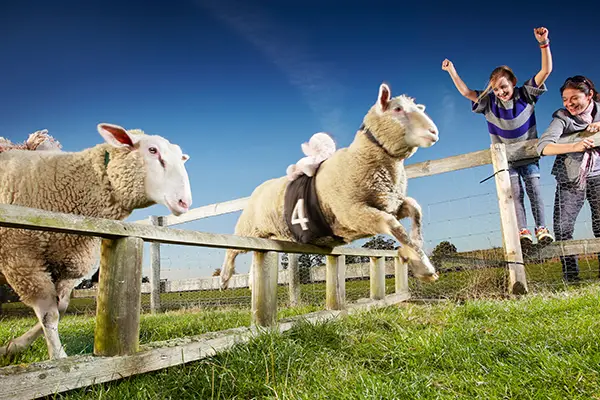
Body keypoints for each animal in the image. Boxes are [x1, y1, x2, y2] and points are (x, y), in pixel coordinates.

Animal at [0, 122, 192, 360]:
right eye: (153, 150)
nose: (184, 202)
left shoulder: (68, 268)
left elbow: (60, 307)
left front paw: (13, 346)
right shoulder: (22, 259)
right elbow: (48, 314)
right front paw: (58, 357)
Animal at [220, 83, 440, 290]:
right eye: (398, 109)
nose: (434, 132)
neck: (360, 158)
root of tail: (259, 188)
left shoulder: (390, 204)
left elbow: (415, 209)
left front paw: (417, 253)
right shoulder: (353, 212)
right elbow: (394, 225)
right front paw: (425, 267)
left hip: (270, 234)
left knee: (257, 251)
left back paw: (251, 281)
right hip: (248, 227)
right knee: (232, 248)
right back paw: (224, 278)